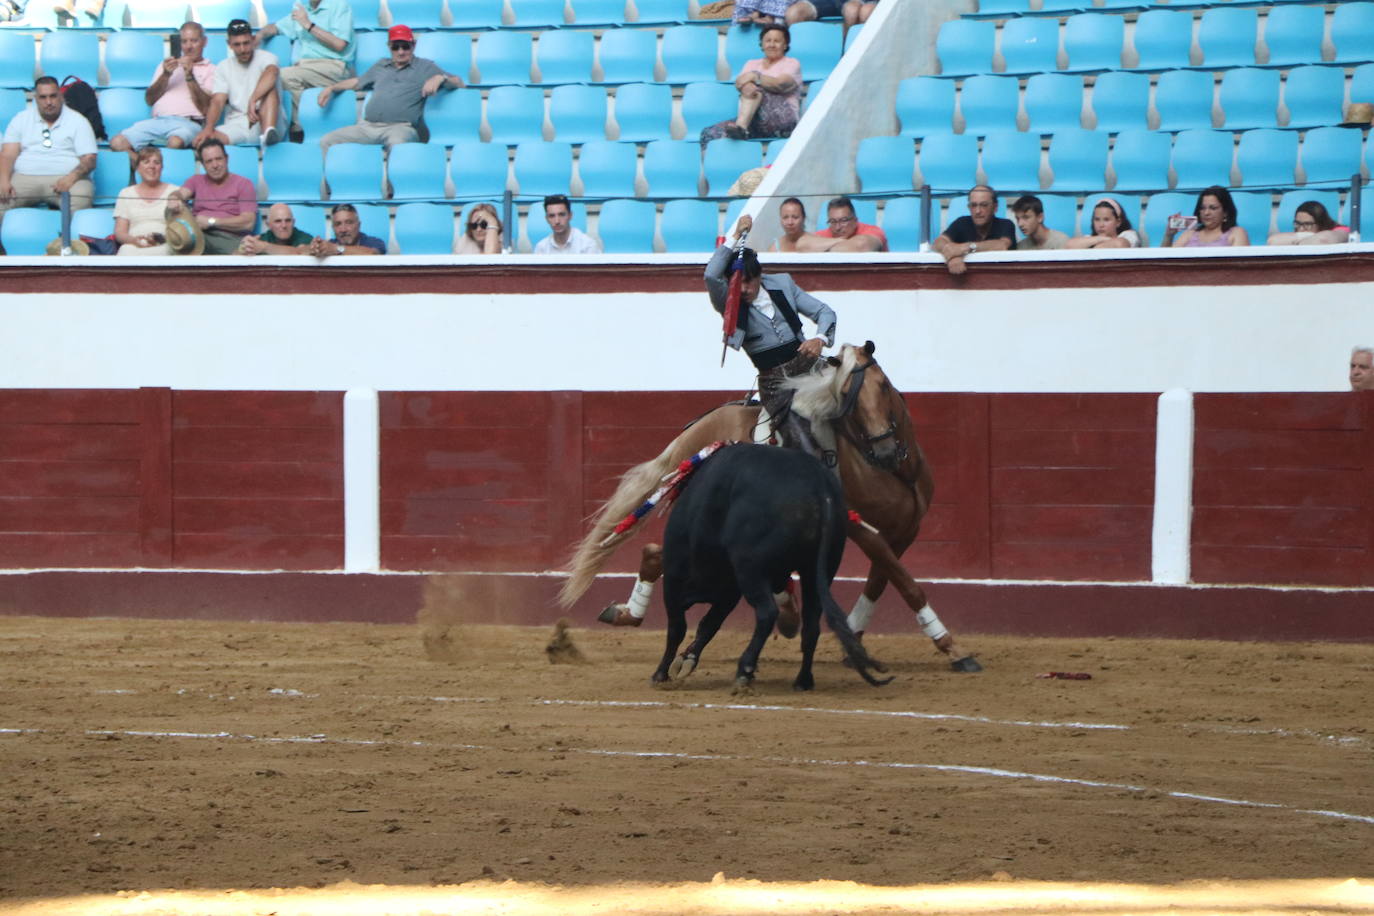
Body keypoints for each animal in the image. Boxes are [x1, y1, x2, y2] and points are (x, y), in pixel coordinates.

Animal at [651, 444, 890, 694]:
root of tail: (819, 483)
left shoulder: (676, 577)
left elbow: (678, 627)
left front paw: (662, 672)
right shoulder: (729, 590)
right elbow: (709, 624)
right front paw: (686, 661)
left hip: (751, 571)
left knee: (767, 613)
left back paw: (744, 670)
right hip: (818, 570)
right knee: (811, 623)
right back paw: (803, 680)